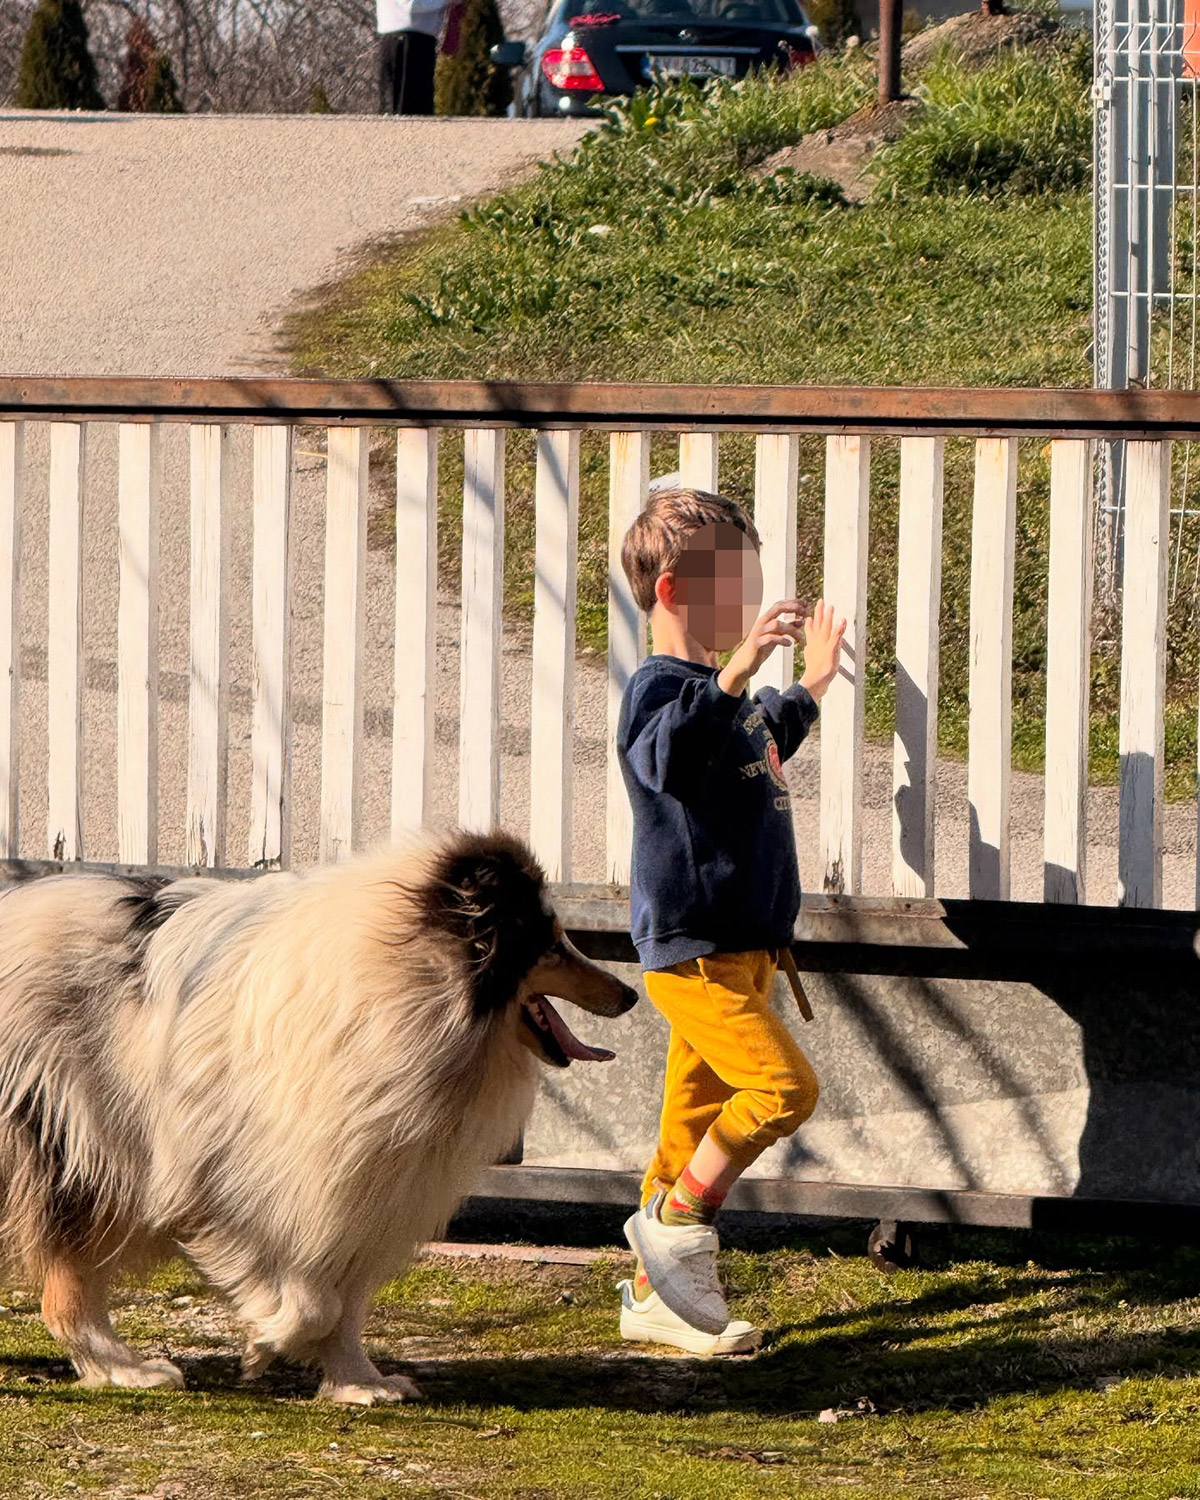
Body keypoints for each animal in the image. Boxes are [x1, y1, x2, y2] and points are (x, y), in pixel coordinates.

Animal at [0, 834, 633, 1404]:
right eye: (550, 944)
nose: (629, 994)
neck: (408, 987)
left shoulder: (365, 1191)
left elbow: (346, 1305)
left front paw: (357, 1382)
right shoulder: (251, 1183)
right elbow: (312, 1301)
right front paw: (269, 1337)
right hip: (73, 1146)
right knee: (66, 1294)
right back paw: (124, 1370)